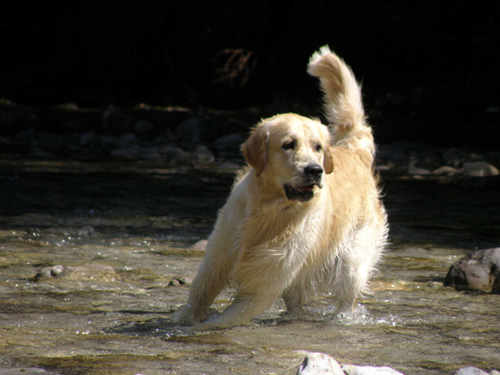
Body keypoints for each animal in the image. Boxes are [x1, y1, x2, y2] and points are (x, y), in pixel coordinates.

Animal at [178, 46, 388, 328]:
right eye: (289, 144)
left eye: (318, 147)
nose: (315, 170)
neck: (269, 211)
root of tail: (353, 151)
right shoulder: (215, 263)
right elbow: (196, 301)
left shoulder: (260, 290)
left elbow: (217, 322)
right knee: (295, 303)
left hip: (352, 260)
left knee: (346, 296)